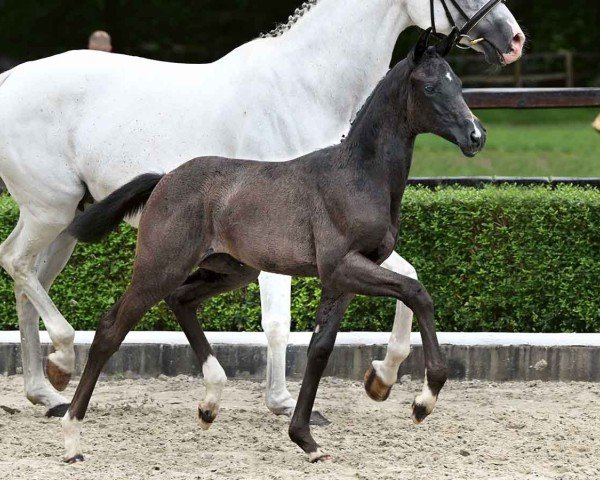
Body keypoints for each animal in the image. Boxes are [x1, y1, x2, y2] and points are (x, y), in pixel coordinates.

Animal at [62, 28, 482, 464]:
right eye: (430, 87)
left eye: (458, 83)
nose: (476, 136)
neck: (359, 176)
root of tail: (164, 178)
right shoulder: (342, 266)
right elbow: (417, 293)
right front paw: (423, 400)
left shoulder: (344, 278)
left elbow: (320, 348)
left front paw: (306, 438)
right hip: (160, 266)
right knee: (111, 329)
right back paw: (72, 436)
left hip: (231, 270)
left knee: (181, 300)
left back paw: (209, 403)